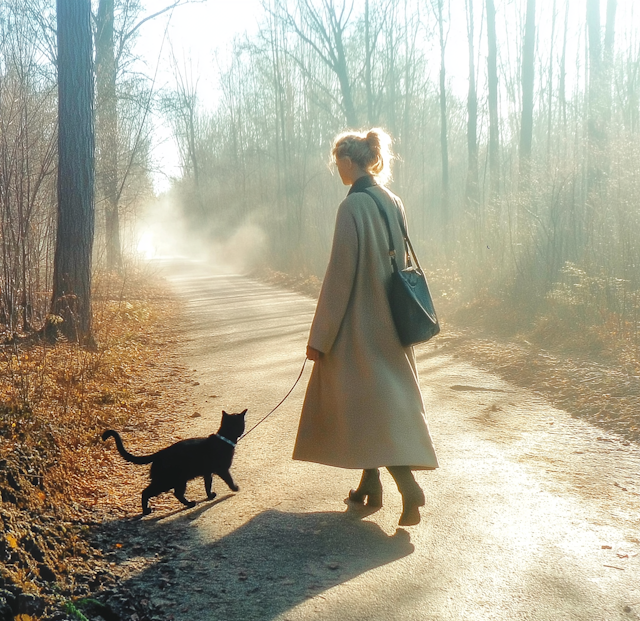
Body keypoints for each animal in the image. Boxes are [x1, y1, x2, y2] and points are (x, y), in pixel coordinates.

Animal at [102, 406, 248, 512]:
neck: (223, 439)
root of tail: (159, 453)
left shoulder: (207, 472)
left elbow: (208, 485)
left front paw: (210, 496)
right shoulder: (222, 469)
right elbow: (229, 479)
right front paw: (235, 488)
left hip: (177, 481)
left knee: (176, 494)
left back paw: (189, 504)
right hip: (169, 481)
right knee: (148, 492)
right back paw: (147, 510)